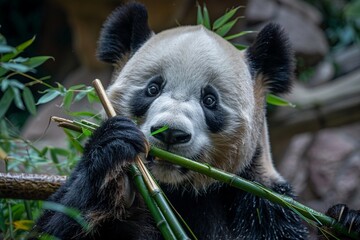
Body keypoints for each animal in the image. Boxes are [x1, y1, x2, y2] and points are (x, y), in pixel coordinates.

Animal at [35, 2, 360, 240]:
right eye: (153, 88)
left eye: (210, 100)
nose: (170, 133)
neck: (176, 192)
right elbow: (55, 224)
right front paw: (113, 149)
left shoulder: (261, 200)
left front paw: (346, 219)